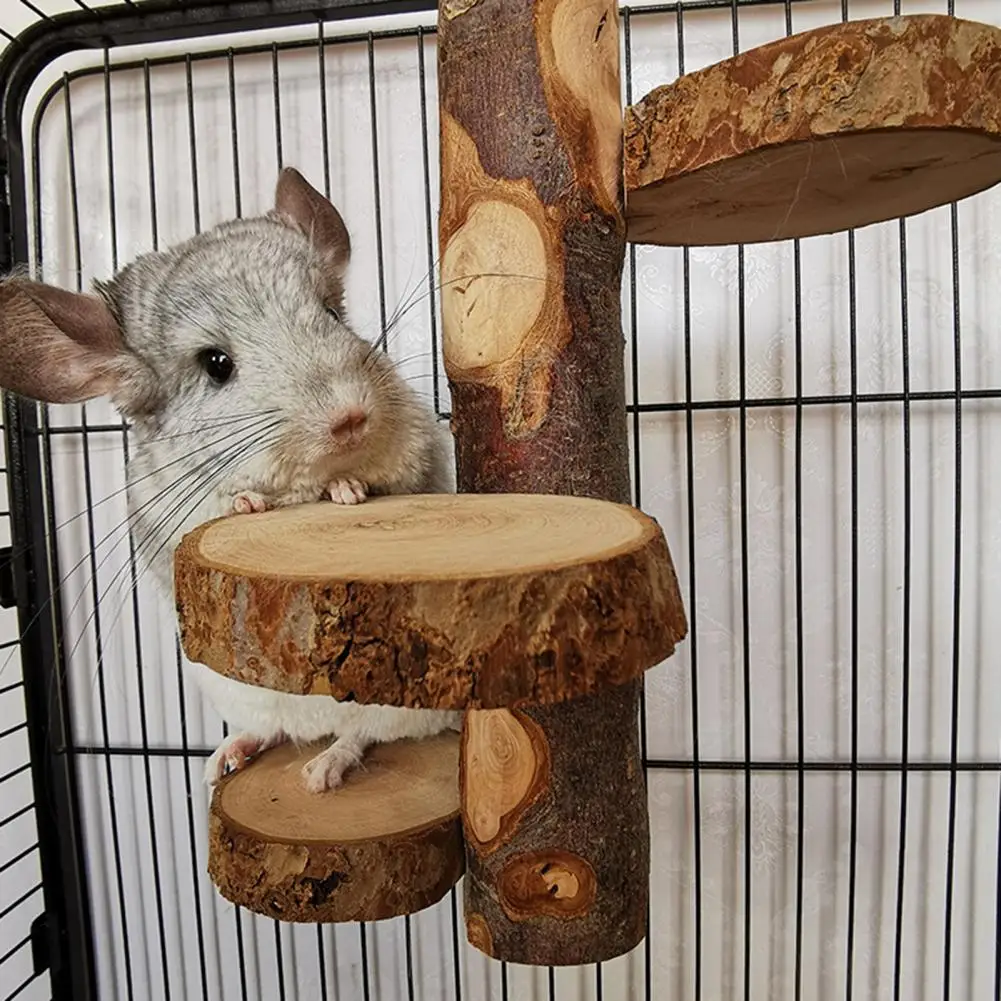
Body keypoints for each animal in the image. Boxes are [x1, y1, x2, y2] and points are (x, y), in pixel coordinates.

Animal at [0, 167, 461, 793]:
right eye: (216, 365)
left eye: (331, 314)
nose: (350, 416)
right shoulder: (172, 517)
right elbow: (226, 507)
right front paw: (248, 502)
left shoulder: (420, 456)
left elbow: (390, 486)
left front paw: (345, 490)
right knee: (275, 731)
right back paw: (227, 757)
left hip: (393, 707)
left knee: (363, 735)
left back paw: (323, 769)